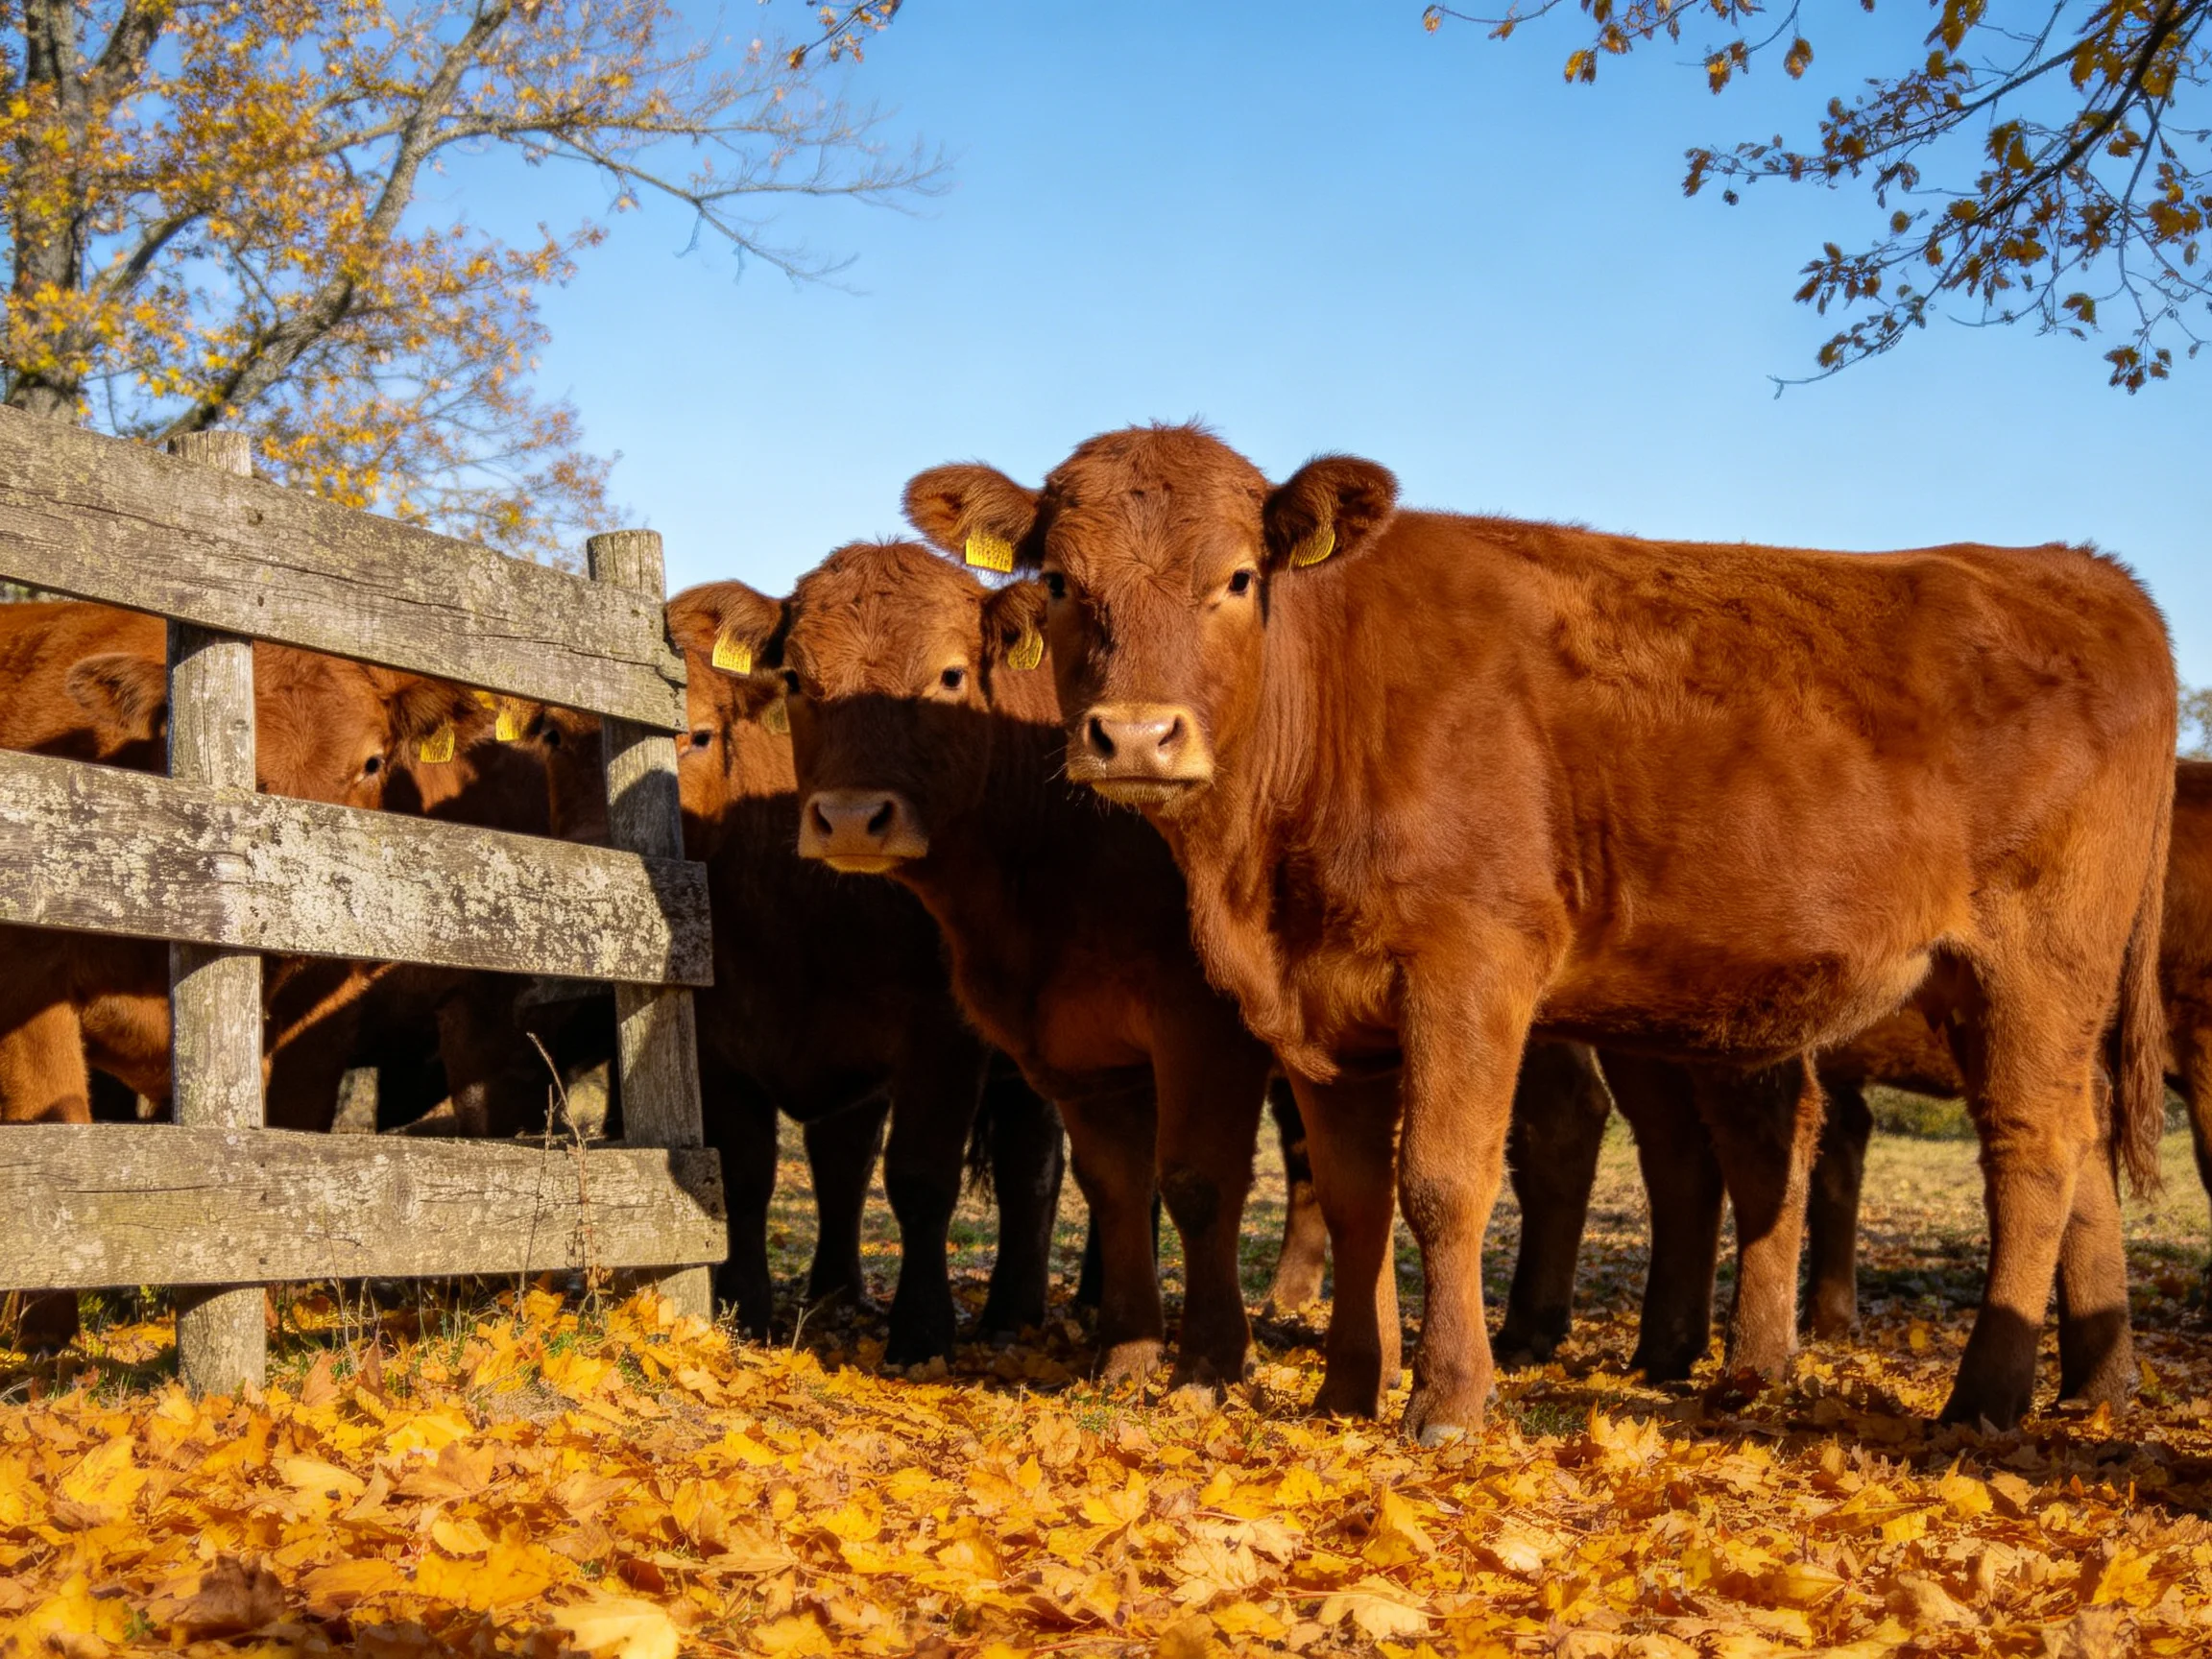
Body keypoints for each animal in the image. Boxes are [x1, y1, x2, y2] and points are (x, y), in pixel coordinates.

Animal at [663, 581, 1062, 1363]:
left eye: (696, 735)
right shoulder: (721, 1042)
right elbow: (748, 1174)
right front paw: (746, 1311)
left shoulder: (942, 1039)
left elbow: (919, 1177)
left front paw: (922, 1331)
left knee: (1037, 1168)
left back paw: (1020, 1312)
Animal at [903, 424, 2174, 1440]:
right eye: (1061, 581)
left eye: (1239, 577)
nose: (1134, 736)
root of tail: (2079, 570)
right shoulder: (1321, 1006)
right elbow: (1356, 1193)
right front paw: (1349, 1390)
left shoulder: (1470, 967)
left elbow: (1444, 1182)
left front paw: (1449, 1400)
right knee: (2049, 1150)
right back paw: (2081, 1385)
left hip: (2035, 964)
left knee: (2031, 1152)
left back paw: (1986, 1397)